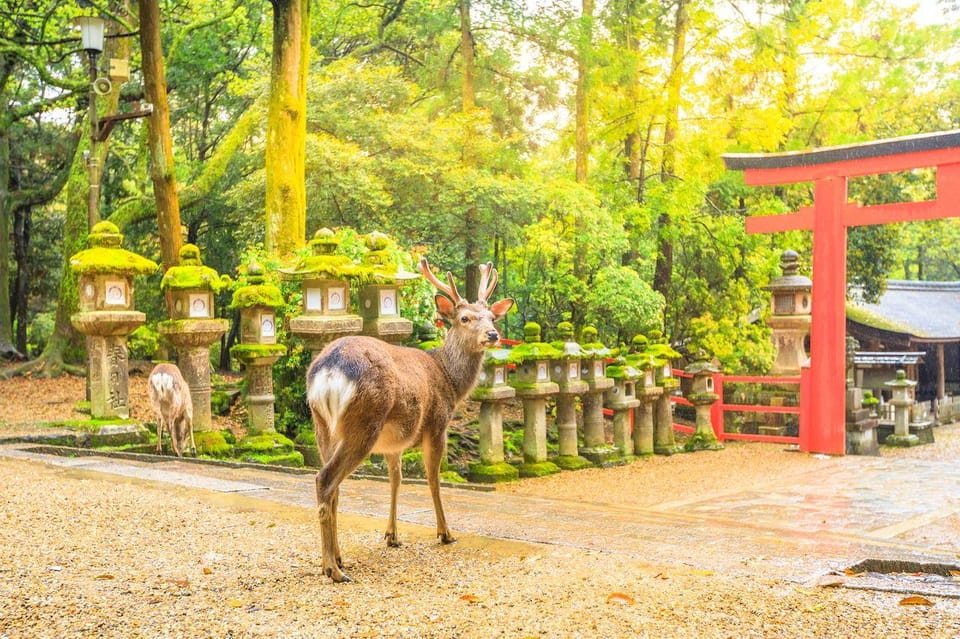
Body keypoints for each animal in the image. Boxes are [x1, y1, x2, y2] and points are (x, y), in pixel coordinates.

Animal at [306, 257, 513, 582]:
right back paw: (333, 569)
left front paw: (392, 535)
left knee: (332, 486)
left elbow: (396, 479)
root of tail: (329, 370)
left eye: (492, 316)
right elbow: (432, 479)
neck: (450, 380)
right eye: (464, 318)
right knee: (325, 479)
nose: (492, 335)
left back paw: (338, 558)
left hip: (322, 424)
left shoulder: (393, 443)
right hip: (364, 422)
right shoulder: (438, 424)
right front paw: (445, 533)